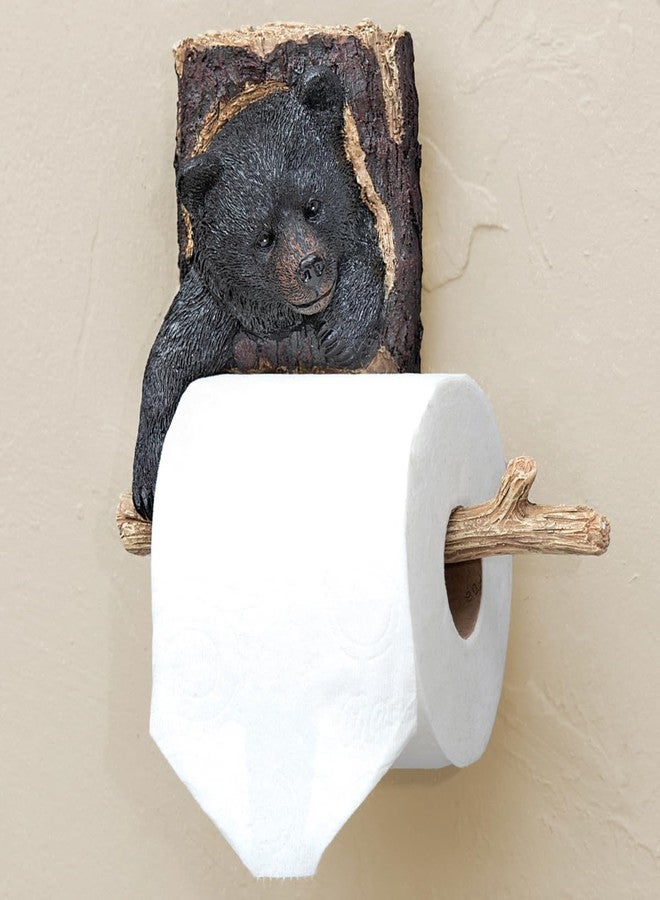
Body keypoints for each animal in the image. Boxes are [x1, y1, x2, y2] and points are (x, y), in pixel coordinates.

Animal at [132, 67, 386, 521]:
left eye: (312, 206)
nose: (310, 266)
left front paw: (340, 335)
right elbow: (169, 360)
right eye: (264, 237)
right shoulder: (217, 304)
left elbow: (366, 262)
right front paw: (147, 486)